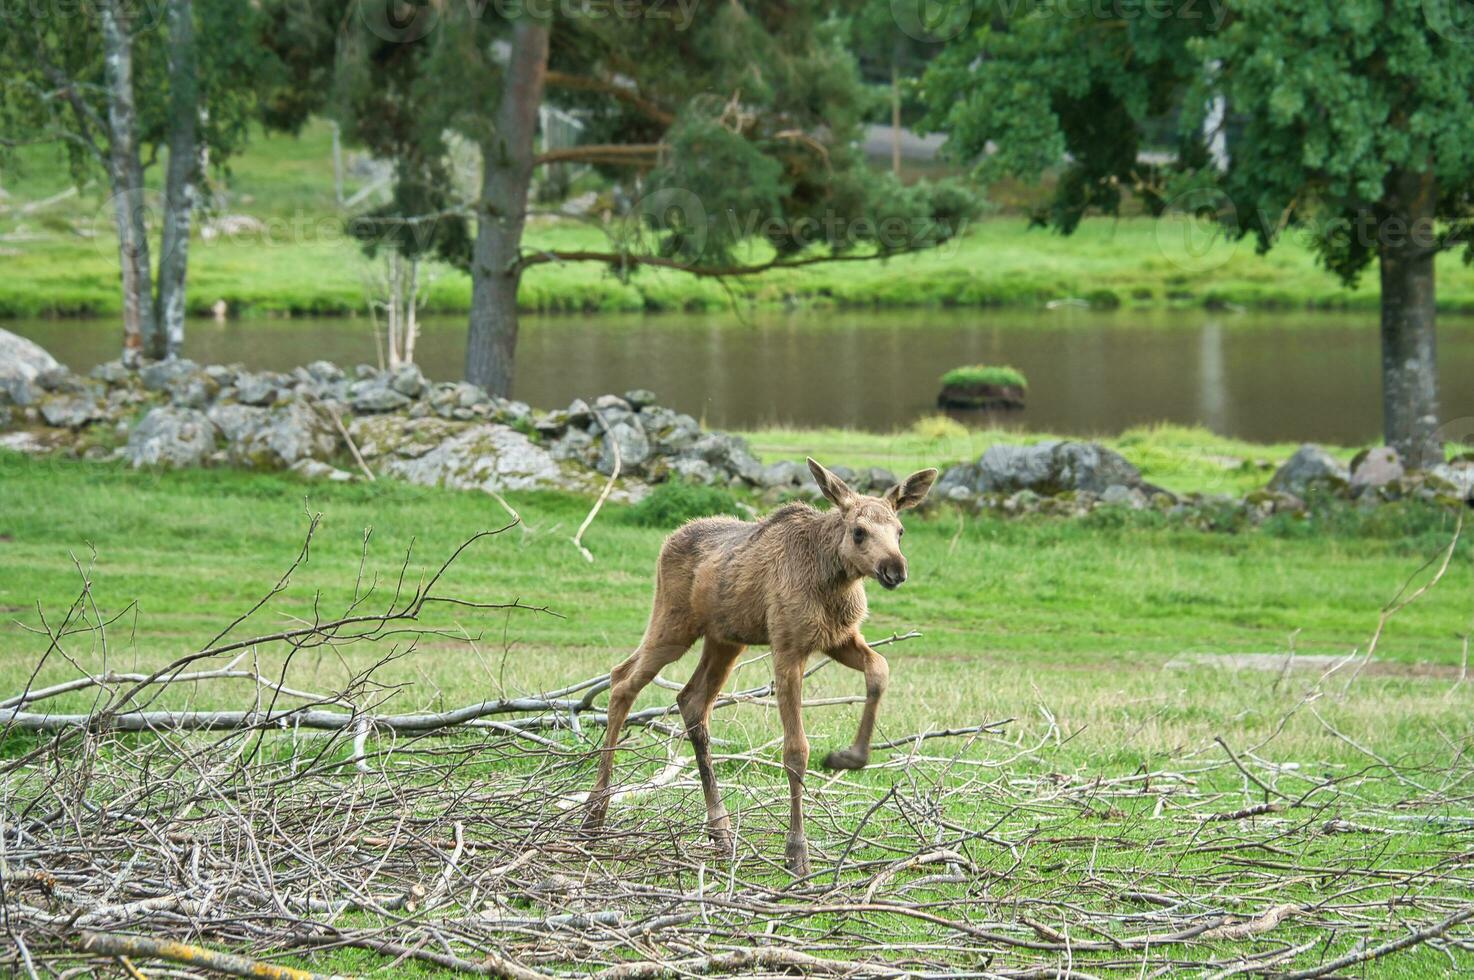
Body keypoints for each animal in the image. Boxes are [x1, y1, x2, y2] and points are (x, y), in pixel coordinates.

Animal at [580, 456, 937, 872]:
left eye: (900, 531)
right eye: (859, 531)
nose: (895, 569)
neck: (835, 581)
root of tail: (668, 541)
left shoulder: (839, 640)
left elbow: (880, 670)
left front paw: (849, 756)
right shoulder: (788, 647)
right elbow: (795, 751)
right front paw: (796, 852)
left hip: (724, 640)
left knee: (690, 699)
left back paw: (719, 831)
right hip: (673, 623)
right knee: (622, 681)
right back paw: (593, 815)